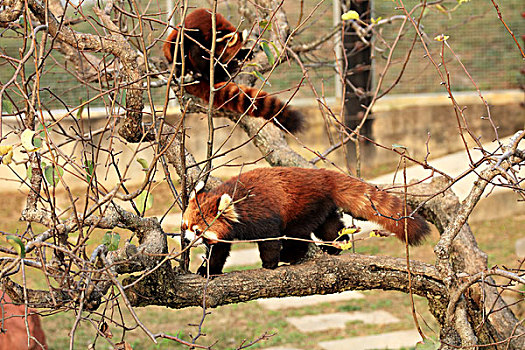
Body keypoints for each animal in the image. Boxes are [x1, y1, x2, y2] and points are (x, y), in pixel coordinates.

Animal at [162, 8, 304, 134]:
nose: (222, 66)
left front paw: (245, 53)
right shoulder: (192, 29)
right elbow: (180, 45)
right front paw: (183, 68)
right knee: (192, 49)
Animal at [181, 167, 430, 276]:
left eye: (197, 230)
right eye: (184, 226)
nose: (184, 239)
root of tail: (325, 175)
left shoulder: (263, 216)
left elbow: (270, 240)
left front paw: (269, 263)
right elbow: (219, 250)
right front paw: (207, 269)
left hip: (303, 206)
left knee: (298, 234)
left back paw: (290, 255)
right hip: (323, 207)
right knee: (330, 228)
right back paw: (335, 247)